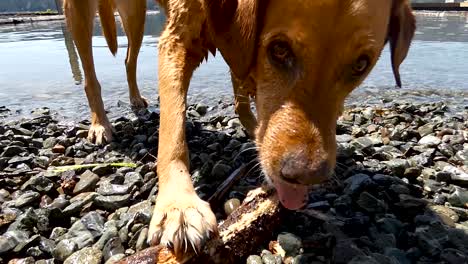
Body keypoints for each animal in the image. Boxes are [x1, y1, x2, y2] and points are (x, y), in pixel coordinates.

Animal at [148, 0, 414, 256]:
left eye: (360, 64)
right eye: (279, 49)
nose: (305, 176)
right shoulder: (176, 41)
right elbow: (173, 126)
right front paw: (179, 205)